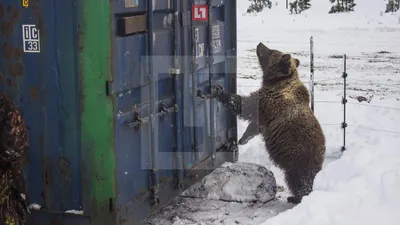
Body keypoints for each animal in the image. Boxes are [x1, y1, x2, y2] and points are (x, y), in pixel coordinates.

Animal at [216, 41, 324, 204]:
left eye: (272, 51)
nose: (260, 43)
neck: (277, 82)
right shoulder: (267, 113)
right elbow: (255, 125)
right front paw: (243, 139)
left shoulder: (269, 102)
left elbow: (247, 106)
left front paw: (219, 92)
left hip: (299, 158)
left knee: (299, 180)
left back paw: (296, 198)